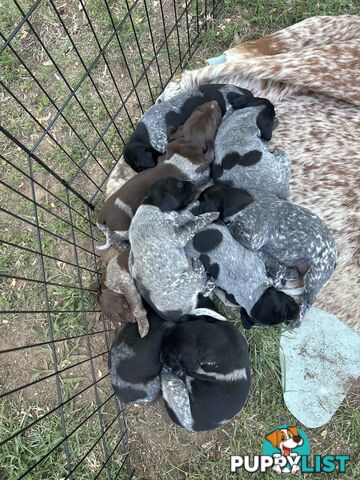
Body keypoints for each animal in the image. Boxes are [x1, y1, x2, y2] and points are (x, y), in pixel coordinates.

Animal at [95, 101, 221, 251]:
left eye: (198, 110)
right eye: (213, 120)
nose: (214, 103)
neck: (186, 149)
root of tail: (102, 217)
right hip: (124, 229)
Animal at [129, 177, 225, 322]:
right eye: (179, 185)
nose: (191, 181)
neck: (152, 205)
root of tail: (182, 315)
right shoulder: (180, 234)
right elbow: (195, 221)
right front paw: (211, 214)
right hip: (190, 278)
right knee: (204, 289)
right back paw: (207, 276)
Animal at [198, 185, 336, 326]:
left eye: (202, 201)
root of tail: (334, 258)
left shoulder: (254, 239)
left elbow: (232, 227)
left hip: (313, 279)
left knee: (303, 304)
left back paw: (294, 321)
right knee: (281, 280)